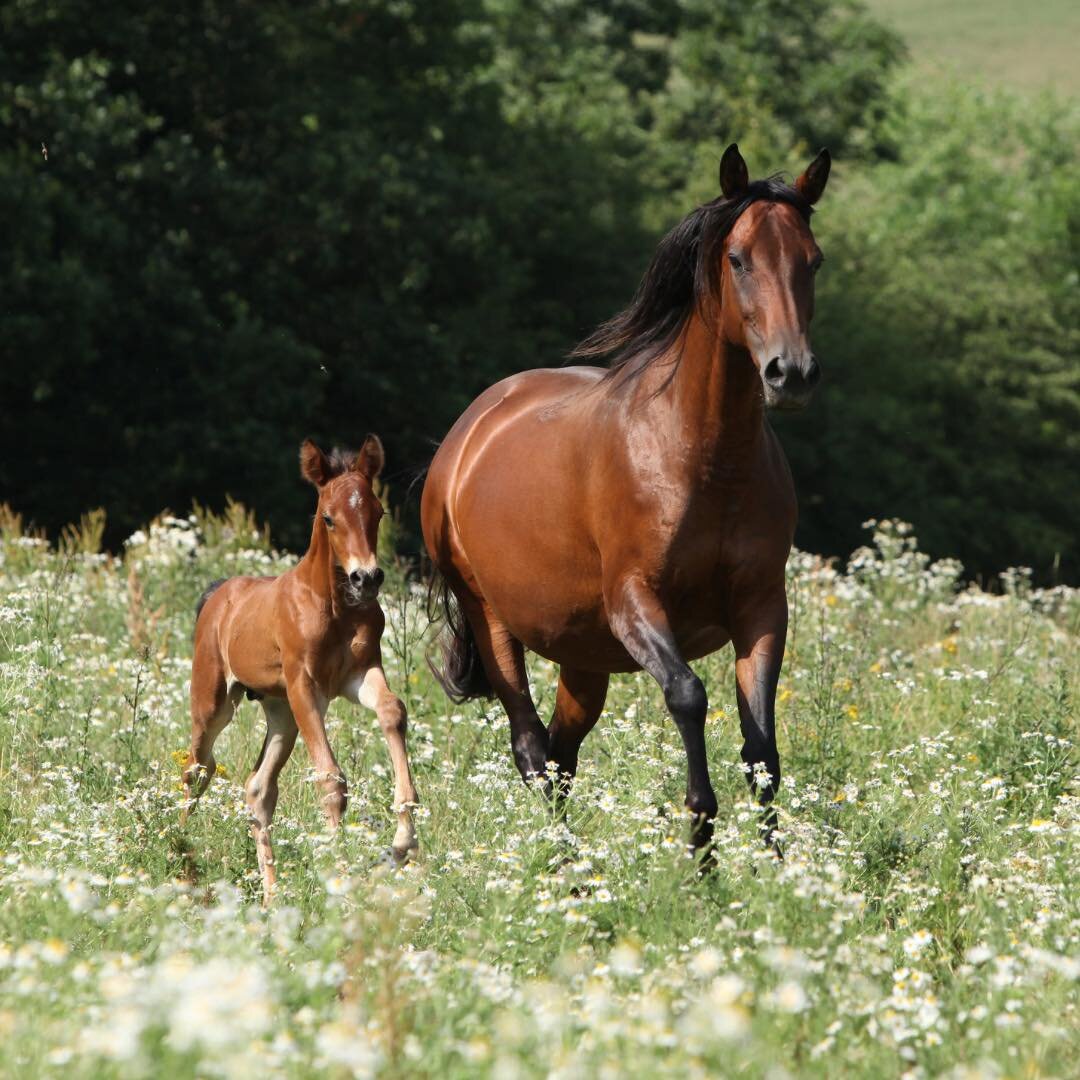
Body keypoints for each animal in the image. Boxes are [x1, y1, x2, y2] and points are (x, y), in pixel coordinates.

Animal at [183, 434, 419, 898]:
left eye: (377, 512)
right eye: (328, 518)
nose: (366, 578)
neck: (332, 605)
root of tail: (218, 594)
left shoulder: (358, 675)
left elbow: (391, 710)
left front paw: (402, 841)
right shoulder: (304, 684)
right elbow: (330, 778)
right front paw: (341, 876)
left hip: (280, 713)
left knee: (257, 788)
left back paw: (272, 895)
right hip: (215, 701)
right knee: (197, 769)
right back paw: (177, 858)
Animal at [421, 143, 825, 851]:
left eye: (814, 260)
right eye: (738, 258)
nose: (791, 373)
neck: (706, 458)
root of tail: (467, 433)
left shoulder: (761, 606)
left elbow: (762, 748)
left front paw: (779, 869)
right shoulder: (636, 600)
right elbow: (689, 696)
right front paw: (700, 837)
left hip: (583, 657)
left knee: (561, 755)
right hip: (491, 620)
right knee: (531, 748)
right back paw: (560, 864)